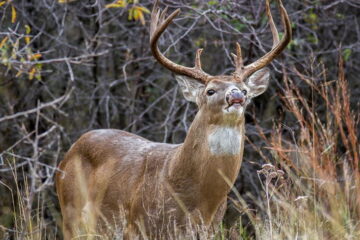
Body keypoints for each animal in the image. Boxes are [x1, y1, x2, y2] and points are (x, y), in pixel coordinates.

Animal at [57, 0, 292, 238]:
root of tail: (70, 151)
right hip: (70, 211)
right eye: (210, 91)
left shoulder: (210, 229)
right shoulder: (137, 226)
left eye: (245, 90)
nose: (235, 96)